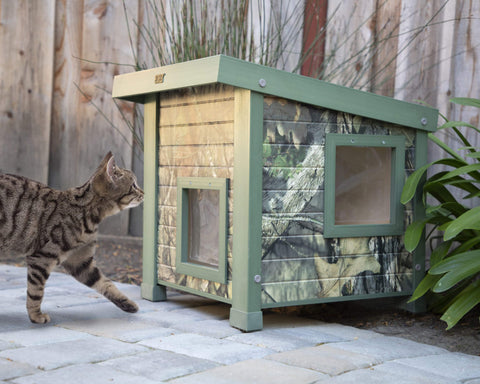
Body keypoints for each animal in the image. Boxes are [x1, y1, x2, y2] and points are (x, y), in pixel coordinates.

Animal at [0, 153, 142, 324]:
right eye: (134, 185)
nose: (144, 193)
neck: (88, 215)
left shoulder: (81, 262)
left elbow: (106, 283)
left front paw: (128, 303)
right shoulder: (42, 258)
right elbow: (36, 291)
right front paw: (36, 316)